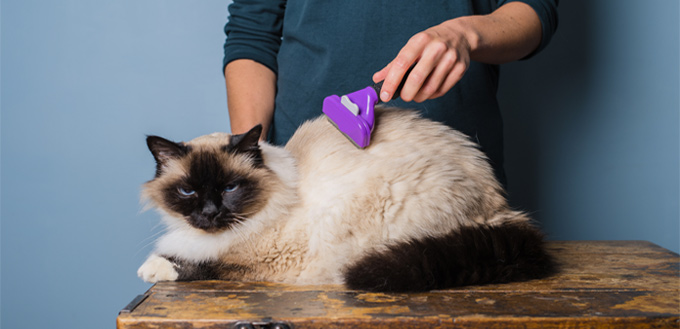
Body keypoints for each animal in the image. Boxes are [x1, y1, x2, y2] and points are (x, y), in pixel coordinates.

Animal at [135, 107, 556, 290]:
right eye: (188, 191)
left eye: (229, 188)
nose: (209, 213)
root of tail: (501, 207)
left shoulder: (271, 262)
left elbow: (206, 266)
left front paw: (153, 268)